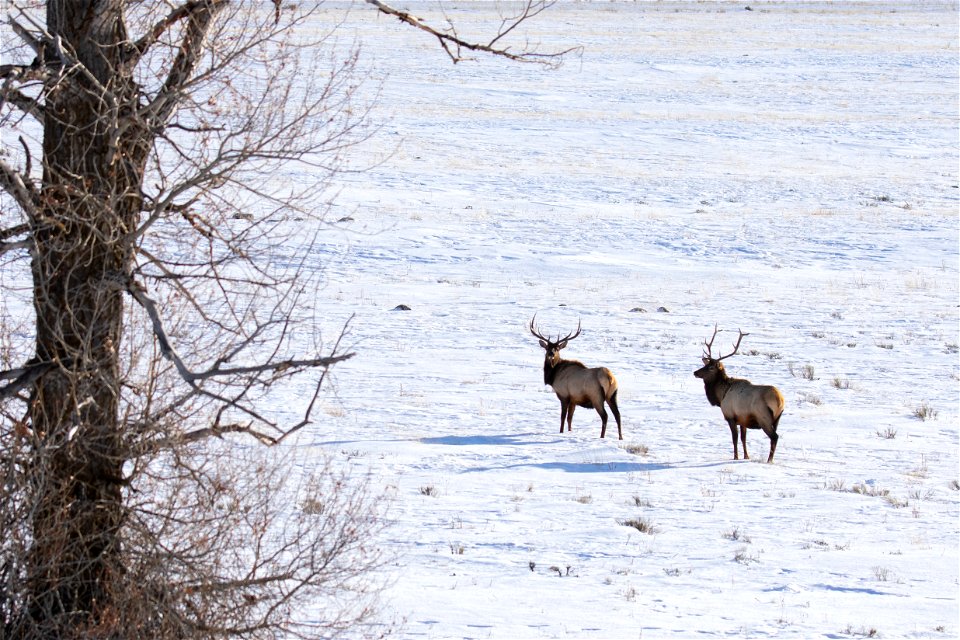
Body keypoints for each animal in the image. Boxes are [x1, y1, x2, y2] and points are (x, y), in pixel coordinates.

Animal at [692, 328, 784, 462]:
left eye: (711, 368)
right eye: (705, 365)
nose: (695, 372)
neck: (721, 396)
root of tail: (780, 400)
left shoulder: (730, 416)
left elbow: (734, 438)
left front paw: (735, 457)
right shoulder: (743, 419)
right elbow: (743, 439)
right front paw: (746, 456)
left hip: (763, 418)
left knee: (775, 437)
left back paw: (769, 460)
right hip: (777, 419)